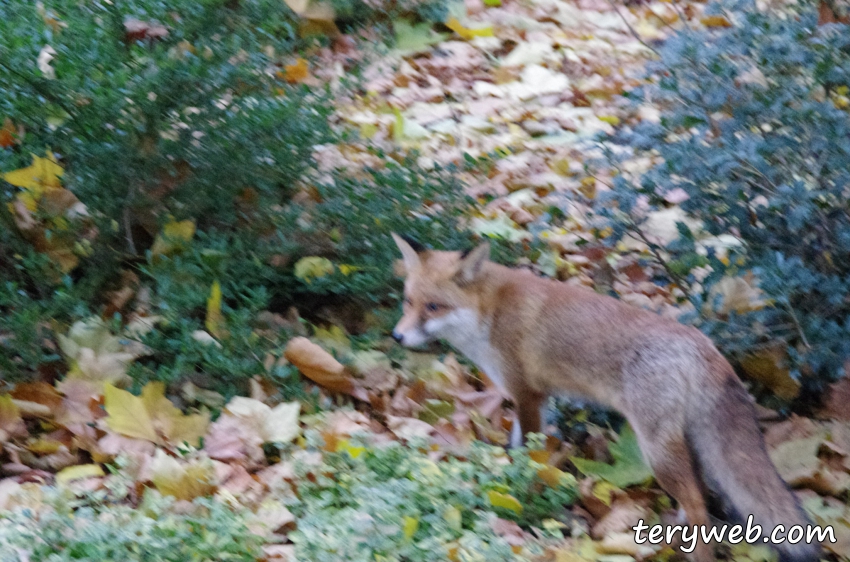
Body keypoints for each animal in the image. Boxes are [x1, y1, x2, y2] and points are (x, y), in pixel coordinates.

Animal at [390, 232, 820, 560]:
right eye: (408, 302)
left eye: (434, 306)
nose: (397, 337)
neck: (490, 315)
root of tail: (705, 345)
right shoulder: (539, 398)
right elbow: (521, 448)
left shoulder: (526, 395)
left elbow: (526, 454)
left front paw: (518, 490)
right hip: (681, 444)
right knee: (699, 494)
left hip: (656, 449)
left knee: (699, 503)